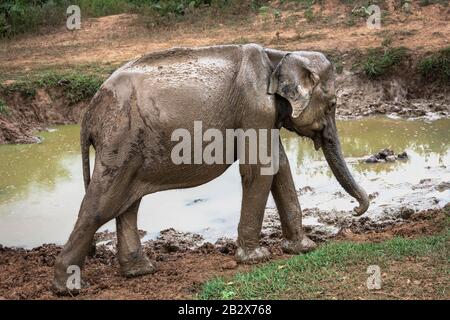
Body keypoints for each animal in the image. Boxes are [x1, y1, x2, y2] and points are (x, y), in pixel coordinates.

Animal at [52, 43, 370, 294]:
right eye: (333, 105)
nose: (356, 210)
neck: (279, 56)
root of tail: (89, 112)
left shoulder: (266, 115)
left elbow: (280, 166)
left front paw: (304, 248)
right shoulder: (255, 108)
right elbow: (260, 169)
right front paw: (256, 257)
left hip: (131, 146)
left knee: (127, 203)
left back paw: (141, 271)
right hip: (120, 137)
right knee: (101, 205)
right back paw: (69, 288)